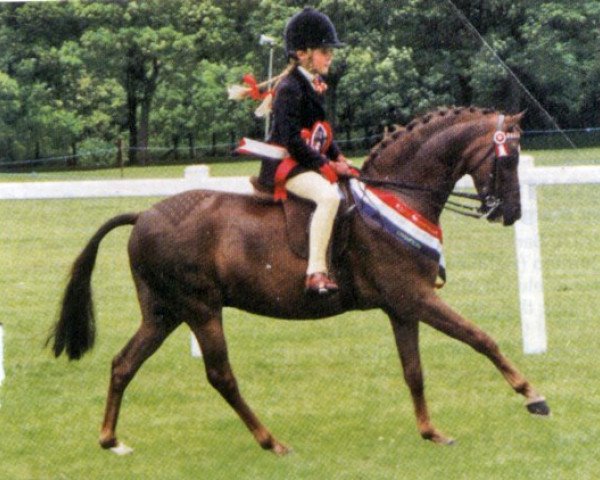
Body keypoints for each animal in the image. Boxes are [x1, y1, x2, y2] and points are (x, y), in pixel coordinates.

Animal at [49, 107, 552, 456]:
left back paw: (111, 440)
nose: (511, 212)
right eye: (509, 159)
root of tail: (144, 215)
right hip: (200, 309)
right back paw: (271, 442)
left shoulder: (402, 307)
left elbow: (414, 371)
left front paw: (431, 431)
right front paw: (533, 396)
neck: (397, 196)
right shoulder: (417, 297)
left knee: (123, 364)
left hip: (164, 313)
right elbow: (480, 338)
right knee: (220, 375)